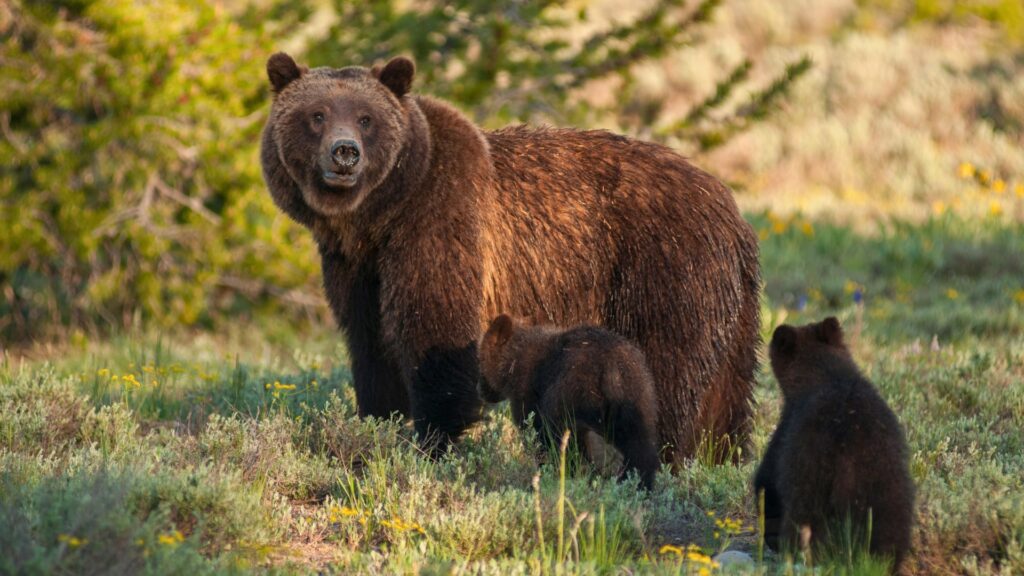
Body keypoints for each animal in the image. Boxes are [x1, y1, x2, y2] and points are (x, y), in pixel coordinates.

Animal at [262, 51, 761, 459]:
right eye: (317, 114)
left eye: (366, 118)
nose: (344, 153)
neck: (378, 217)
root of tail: (733, 213)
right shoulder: (356, 266)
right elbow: (370, 342)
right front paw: (380, 420)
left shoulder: (439, 221)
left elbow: (435, 331)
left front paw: (433, 437)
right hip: (731, 309)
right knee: (726, 394)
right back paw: (721, 456)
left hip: (665, 269)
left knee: (668, 370)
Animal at [479, 313, 663, 487]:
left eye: (479, 359)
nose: (480, 389)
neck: (514, 363)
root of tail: (612, 370)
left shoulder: (528, 394)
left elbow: (537, 435)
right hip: (639, 398)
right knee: (640, 449)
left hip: (574, 395)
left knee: (572, 443)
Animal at [753, 315, 913, 569]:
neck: (826, 373)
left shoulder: (790, 427)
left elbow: (768, 476)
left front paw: (772, 533)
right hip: (888, 484)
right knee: (891, 529)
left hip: (812, 475)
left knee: (803, 517)